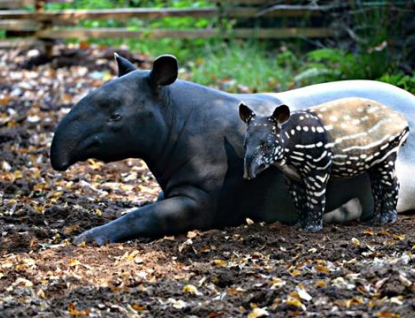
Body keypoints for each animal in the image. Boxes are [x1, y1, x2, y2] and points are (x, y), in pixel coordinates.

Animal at [240, 97, 410, 231]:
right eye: (244, 144)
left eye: (267, 146)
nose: (248, 174)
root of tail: (403, 120)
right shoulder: (291, 176)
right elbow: (299, 201)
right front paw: (299, 225)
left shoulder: (318, 166)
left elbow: (315, 199)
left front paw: (311, 228)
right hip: (375, 159)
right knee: (377, 186)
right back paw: (374, 219)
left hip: (387, 151)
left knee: (392, 183)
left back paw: (387, 219)